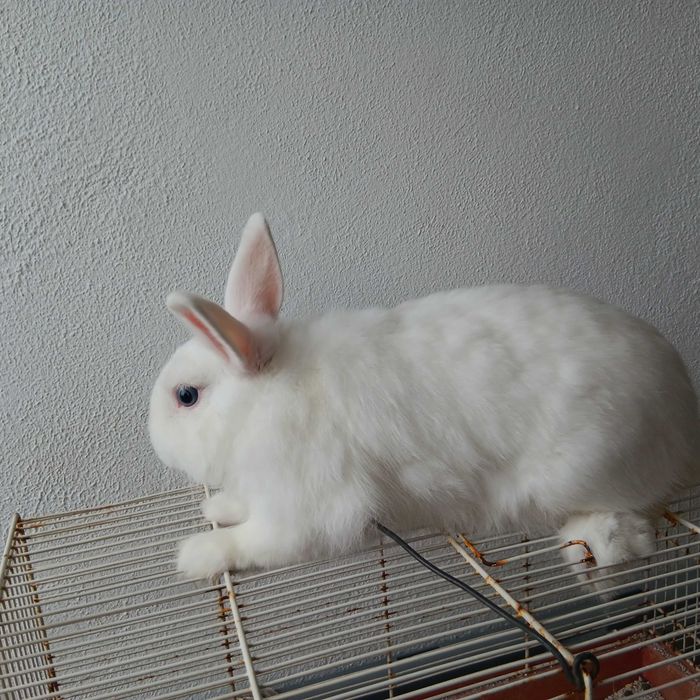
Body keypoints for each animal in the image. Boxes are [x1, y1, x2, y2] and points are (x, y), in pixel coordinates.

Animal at [149, 213, 699, 592]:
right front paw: (217, 506)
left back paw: (598, 540)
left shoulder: (312, 505)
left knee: (633, 515)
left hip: (587, 471)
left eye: (186, 396)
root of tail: (683, 408)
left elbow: (261, 540)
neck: (266, 393)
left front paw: (196, 554)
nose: (154, 441)